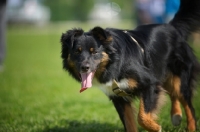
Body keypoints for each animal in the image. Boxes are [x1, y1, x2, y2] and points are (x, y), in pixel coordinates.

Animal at [60, 0, 200, 131]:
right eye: (77, 52)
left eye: (94, 52)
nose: (84, 68)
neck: (114, 64)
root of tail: (172, 27)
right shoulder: (118, 97)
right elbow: (129, 123)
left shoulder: (149, 83)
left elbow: (142, 117)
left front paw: (156, 127)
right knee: (173, 93)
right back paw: (176, 116)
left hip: (180, 77)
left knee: (188, 105)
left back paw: (189, 126)